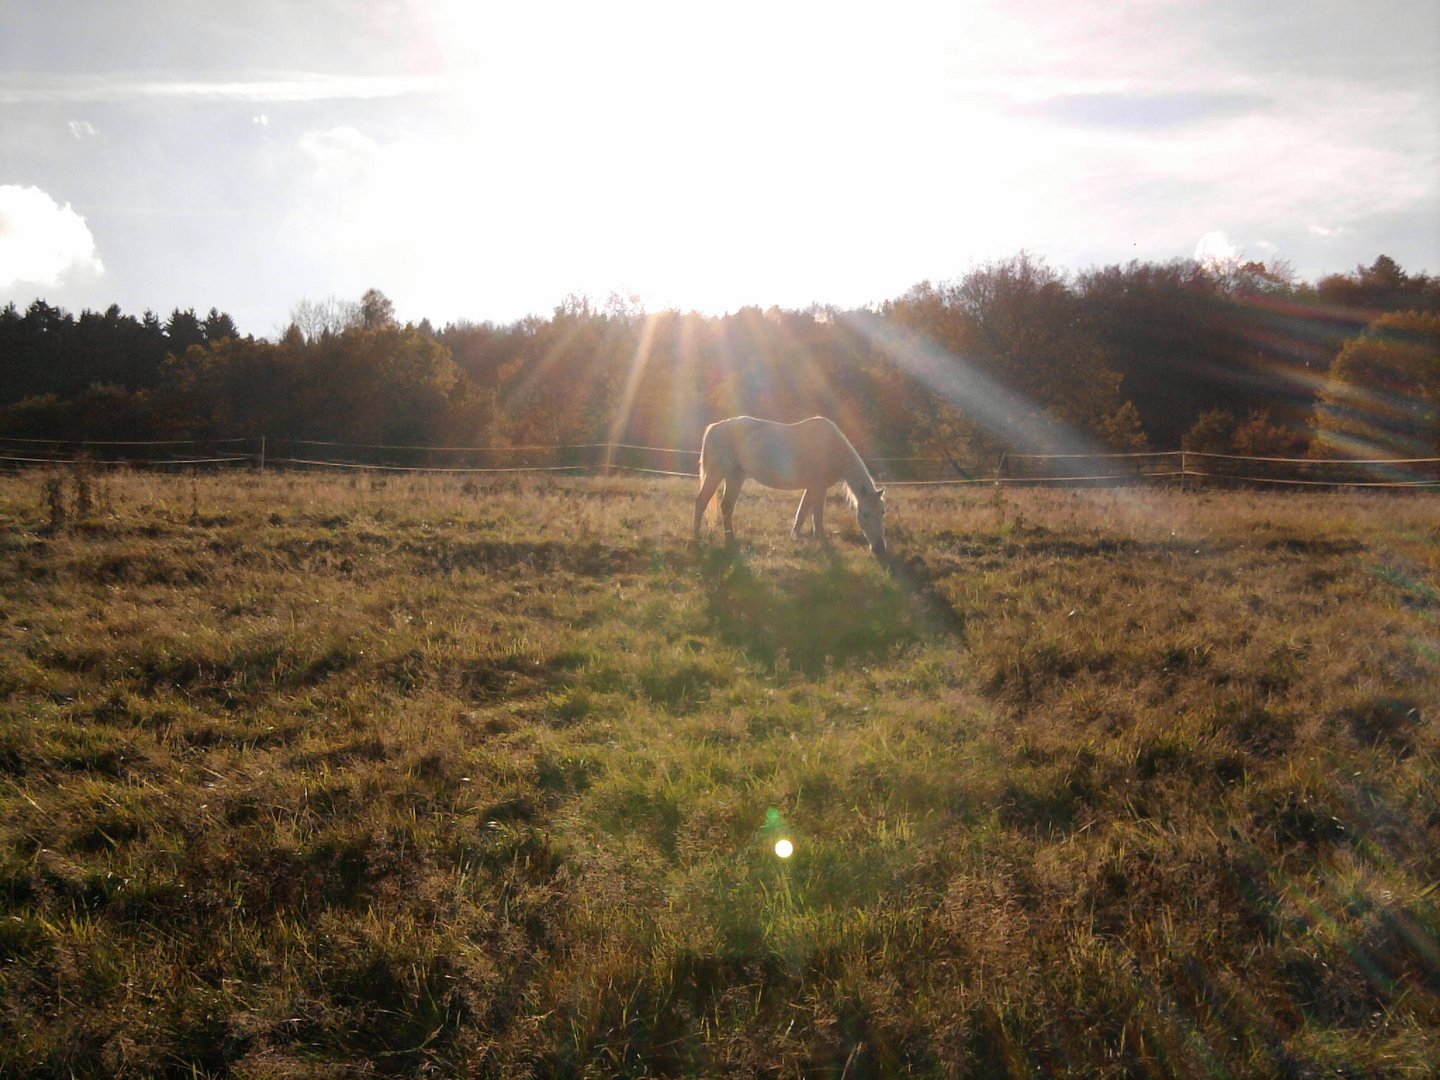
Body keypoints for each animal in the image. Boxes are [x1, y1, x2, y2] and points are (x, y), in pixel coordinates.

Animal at [688, 417, 881, 558]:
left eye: (882, 512)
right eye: (865, 514)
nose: (879, 547)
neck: (831, 447)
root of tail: (714, 428)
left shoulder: (812, 488)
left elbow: (802, 512)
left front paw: (795, 536)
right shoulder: (819, 488)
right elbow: (817, 516)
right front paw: (822, 542)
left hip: (735, 476)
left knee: (726, 506)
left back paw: (731, 541)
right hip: (716, 473)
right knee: (702, 501)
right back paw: (696, 537)